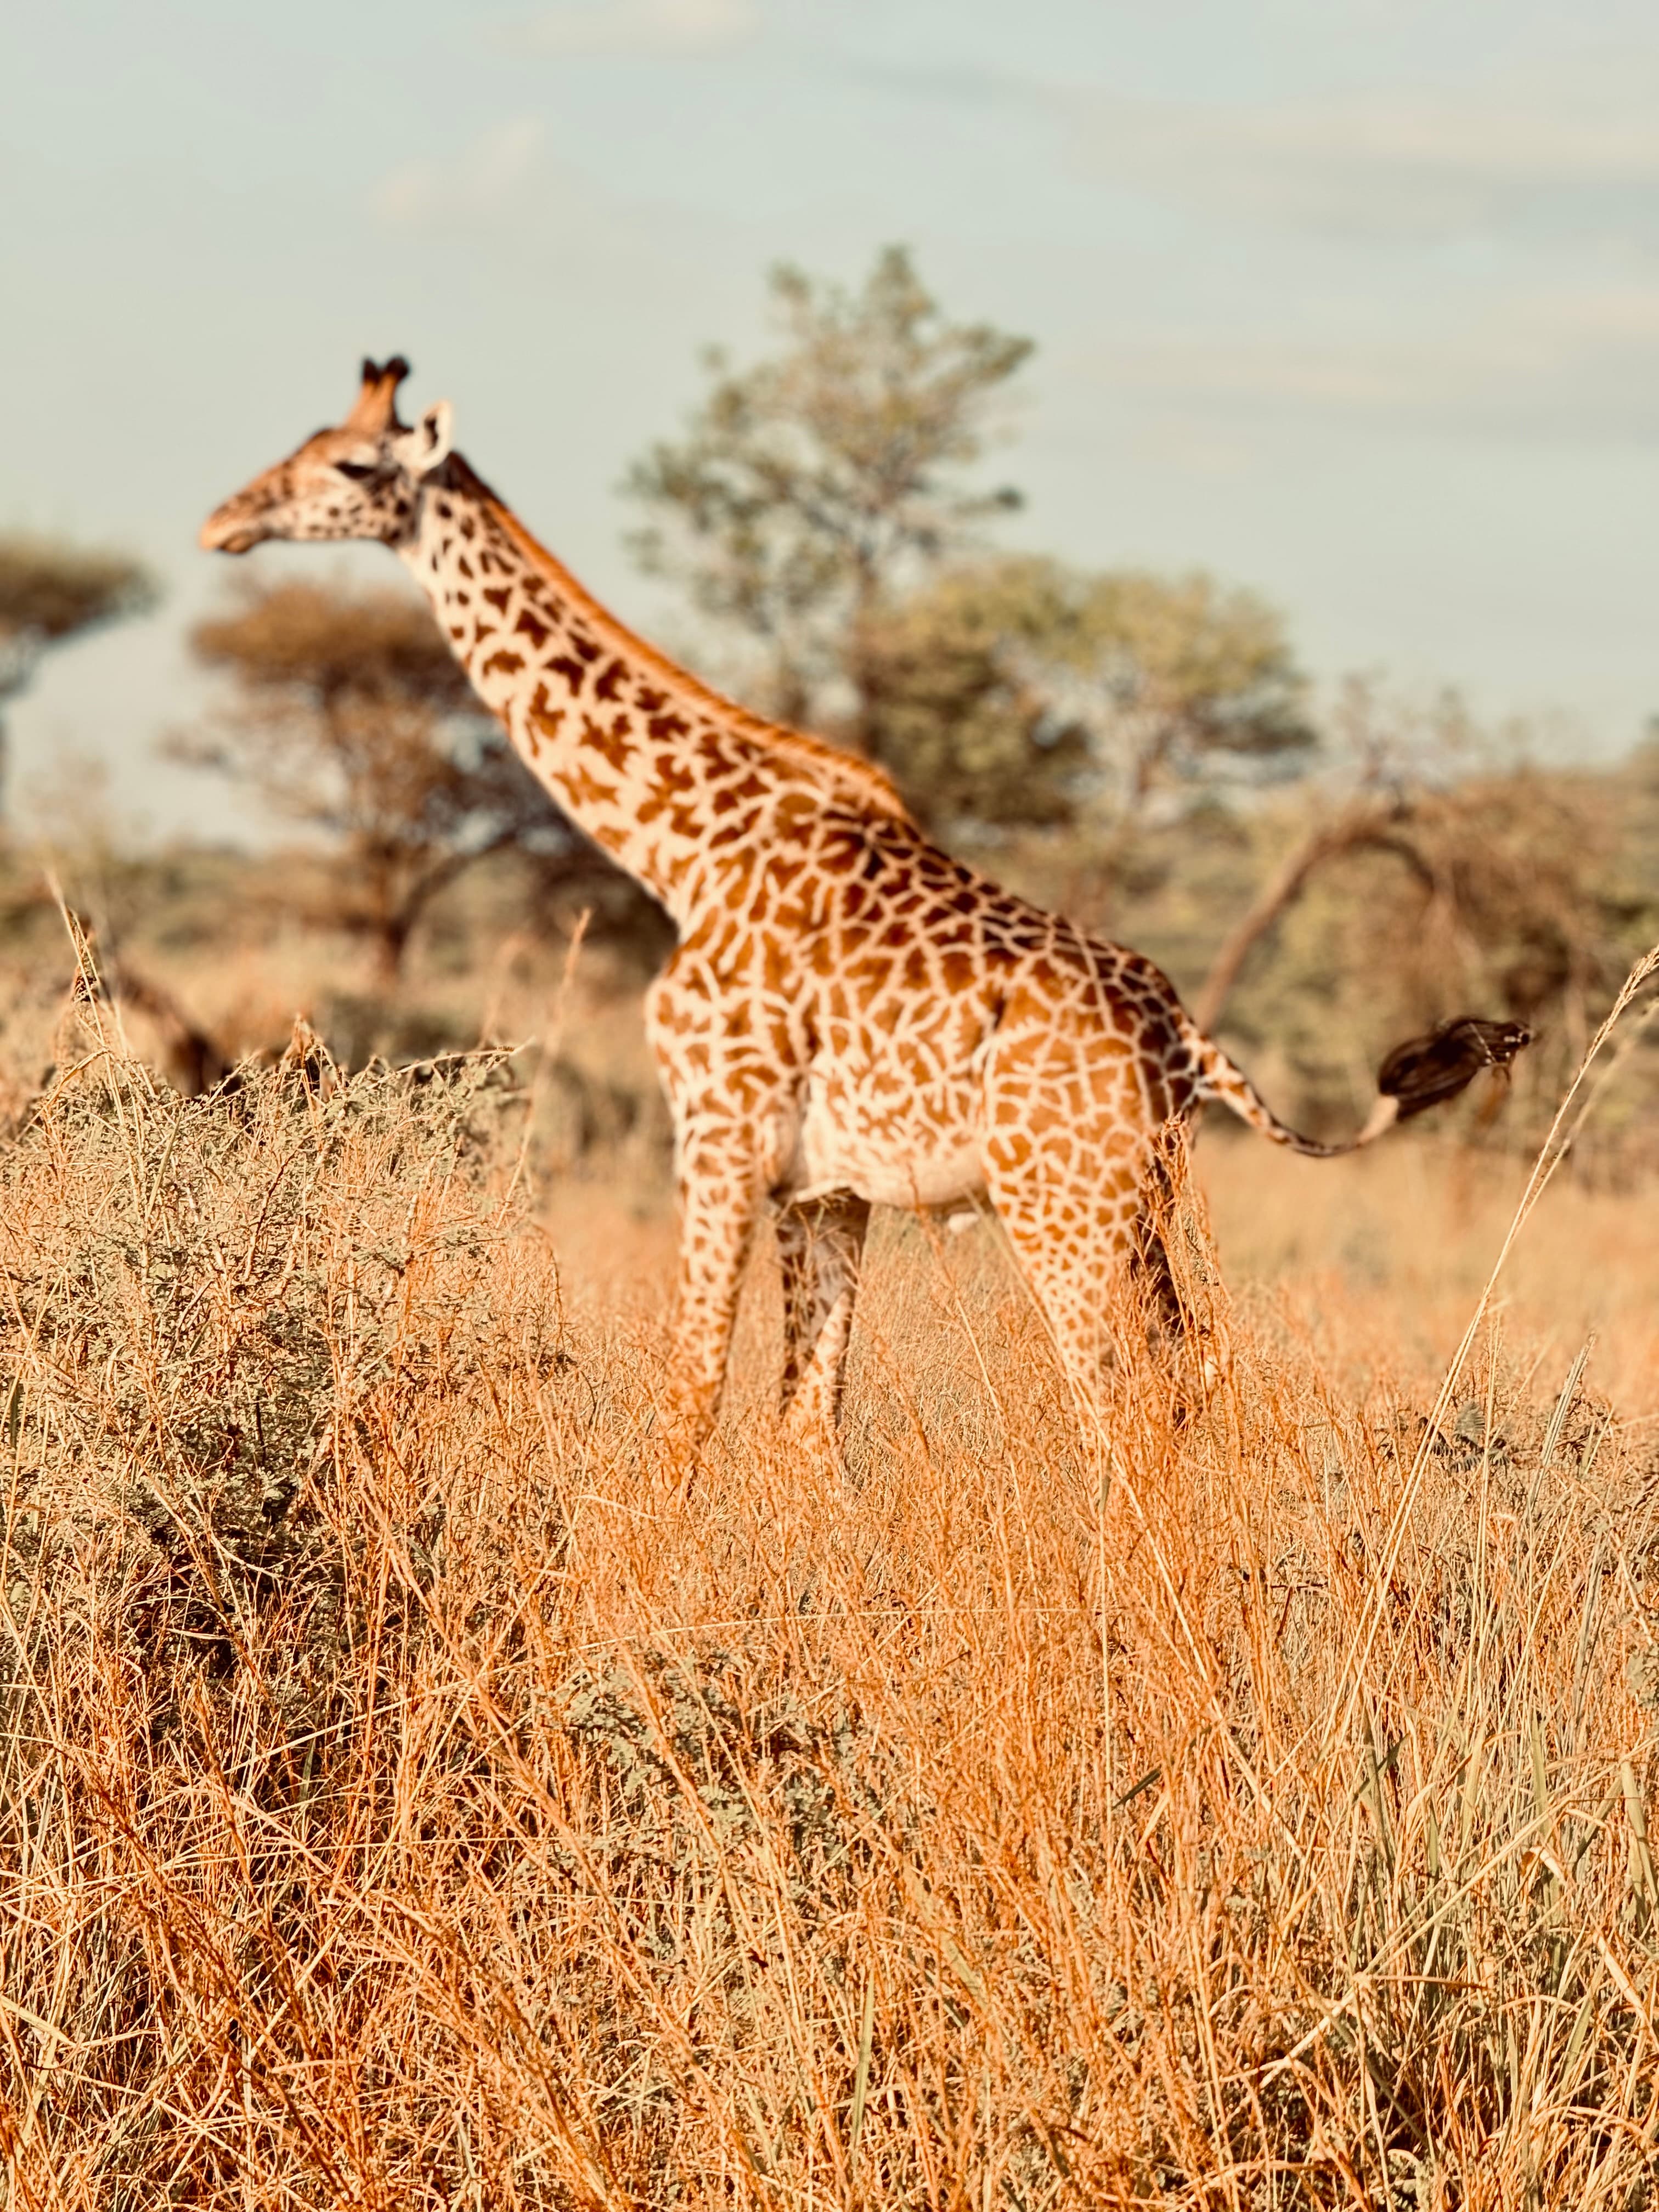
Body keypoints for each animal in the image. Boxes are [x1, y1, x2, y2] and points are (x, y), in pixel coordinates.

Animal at [201, 358, 1529, 1438]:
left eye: (349, 465)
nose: (223, 517)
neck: (682, 844)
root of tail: (1188, 1041)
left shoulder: (716, 1130)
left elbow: (691, 1396)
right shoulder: (827, 1184)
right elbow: (803, 1425)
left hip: (1063, 1205)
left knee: (1124, 1404)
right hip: (1137, 1199)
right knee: (1193, 1372)